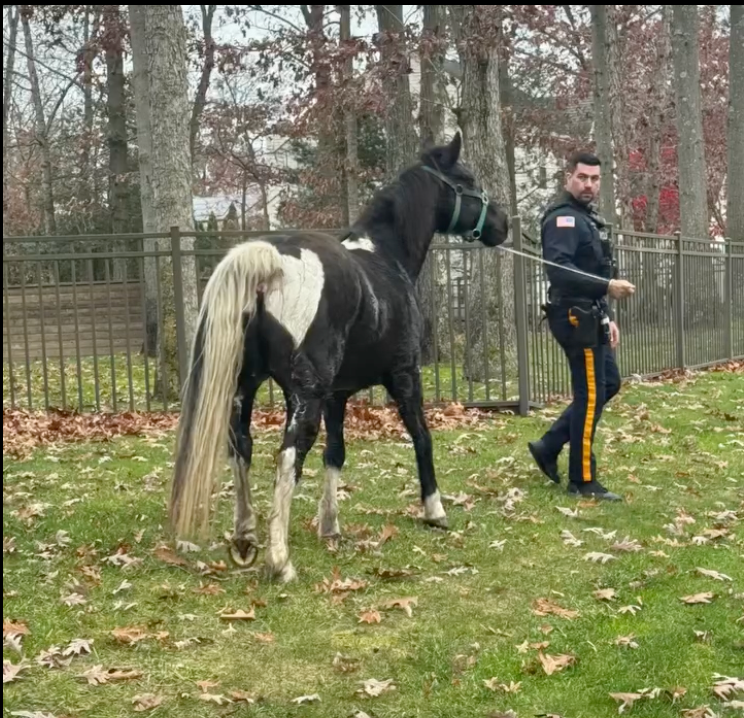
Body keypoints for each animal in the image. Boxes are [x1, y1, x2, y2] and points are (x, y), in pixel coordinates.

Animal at [168, 132, 510, 582]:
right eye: (466, 179)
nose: (503, 224)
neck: (385, 257)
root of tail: (270, 263)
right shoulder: (405, 376)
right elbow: (421, 436)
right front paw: (435, 510)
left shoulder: (338, 395)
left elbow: (336, 453)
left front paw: (329, 525)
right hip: (304, 397)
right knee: (288, 456)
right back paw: (280, 561)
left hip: (246, 387)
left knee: (241, 446)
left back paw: (246, 536)